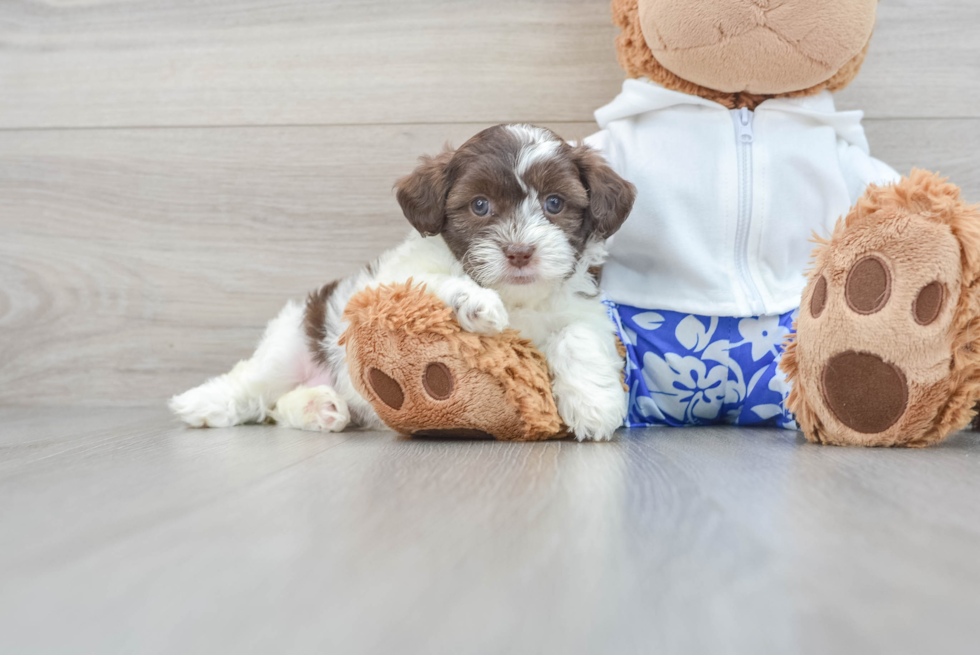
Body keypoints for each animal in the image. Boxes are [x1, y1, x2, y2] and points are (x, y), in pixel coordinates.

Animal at [168, 123, 636, 440]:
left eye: (554, 203)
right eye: (480, 205)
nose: (520, 252)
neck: (517, 298)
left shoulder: (582, 308)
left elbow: (579, 336)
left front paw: (594, 406)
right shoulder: (387, 285)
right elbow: (427, 286)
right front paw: (476, 303)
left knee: (281, 406)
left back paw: (320, 408)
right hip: (292, 342)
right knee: (254, 383)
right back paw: (203, 403)